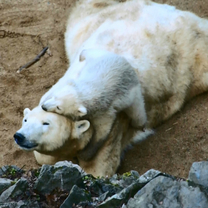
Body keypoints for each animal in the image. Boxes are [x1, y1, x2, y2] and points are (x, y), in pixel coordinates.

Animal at [14, 0, 208, 176]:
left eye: (46, 123)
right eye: (25, 120)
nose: (20, 136)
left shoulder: (111, 126)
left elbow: (99, 168)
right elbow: (44, 156)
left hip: (192, 52)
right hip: (88, 24)